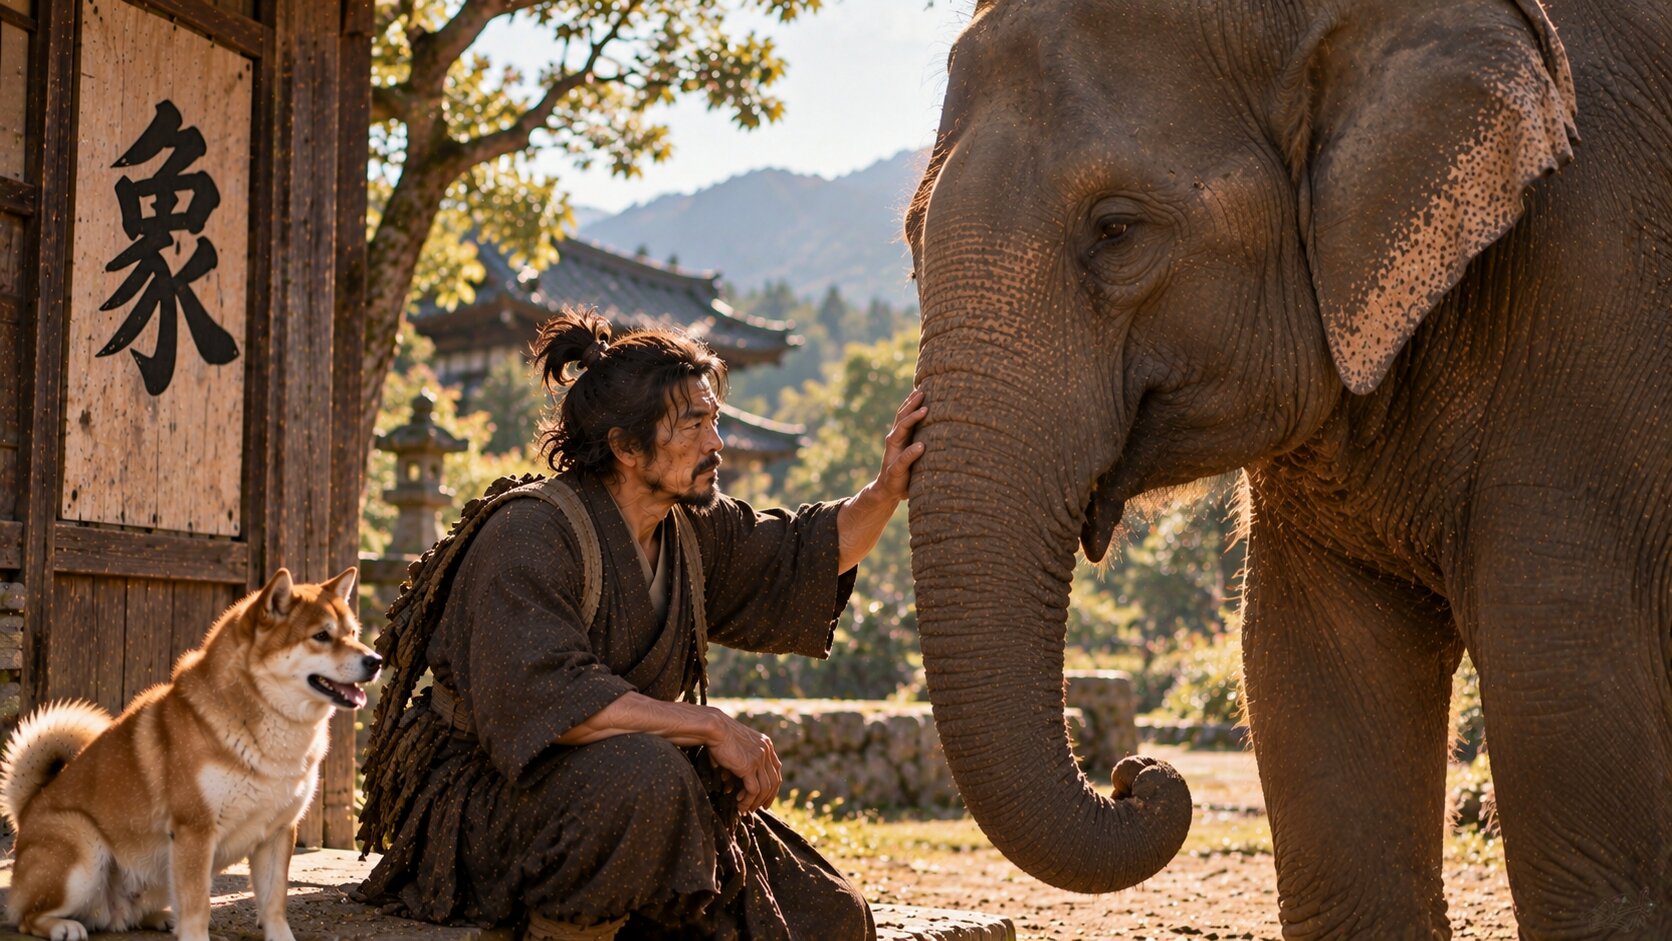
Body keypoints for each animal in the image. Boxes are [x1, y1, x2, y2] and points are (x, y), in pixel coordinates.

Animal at [904, 0, 1671, 936]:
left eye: (1116, 229)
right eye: (911, 234)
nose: (1136, 774)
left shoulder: (1596, 306)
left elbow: (1582, 785)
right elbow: (1315, 699)